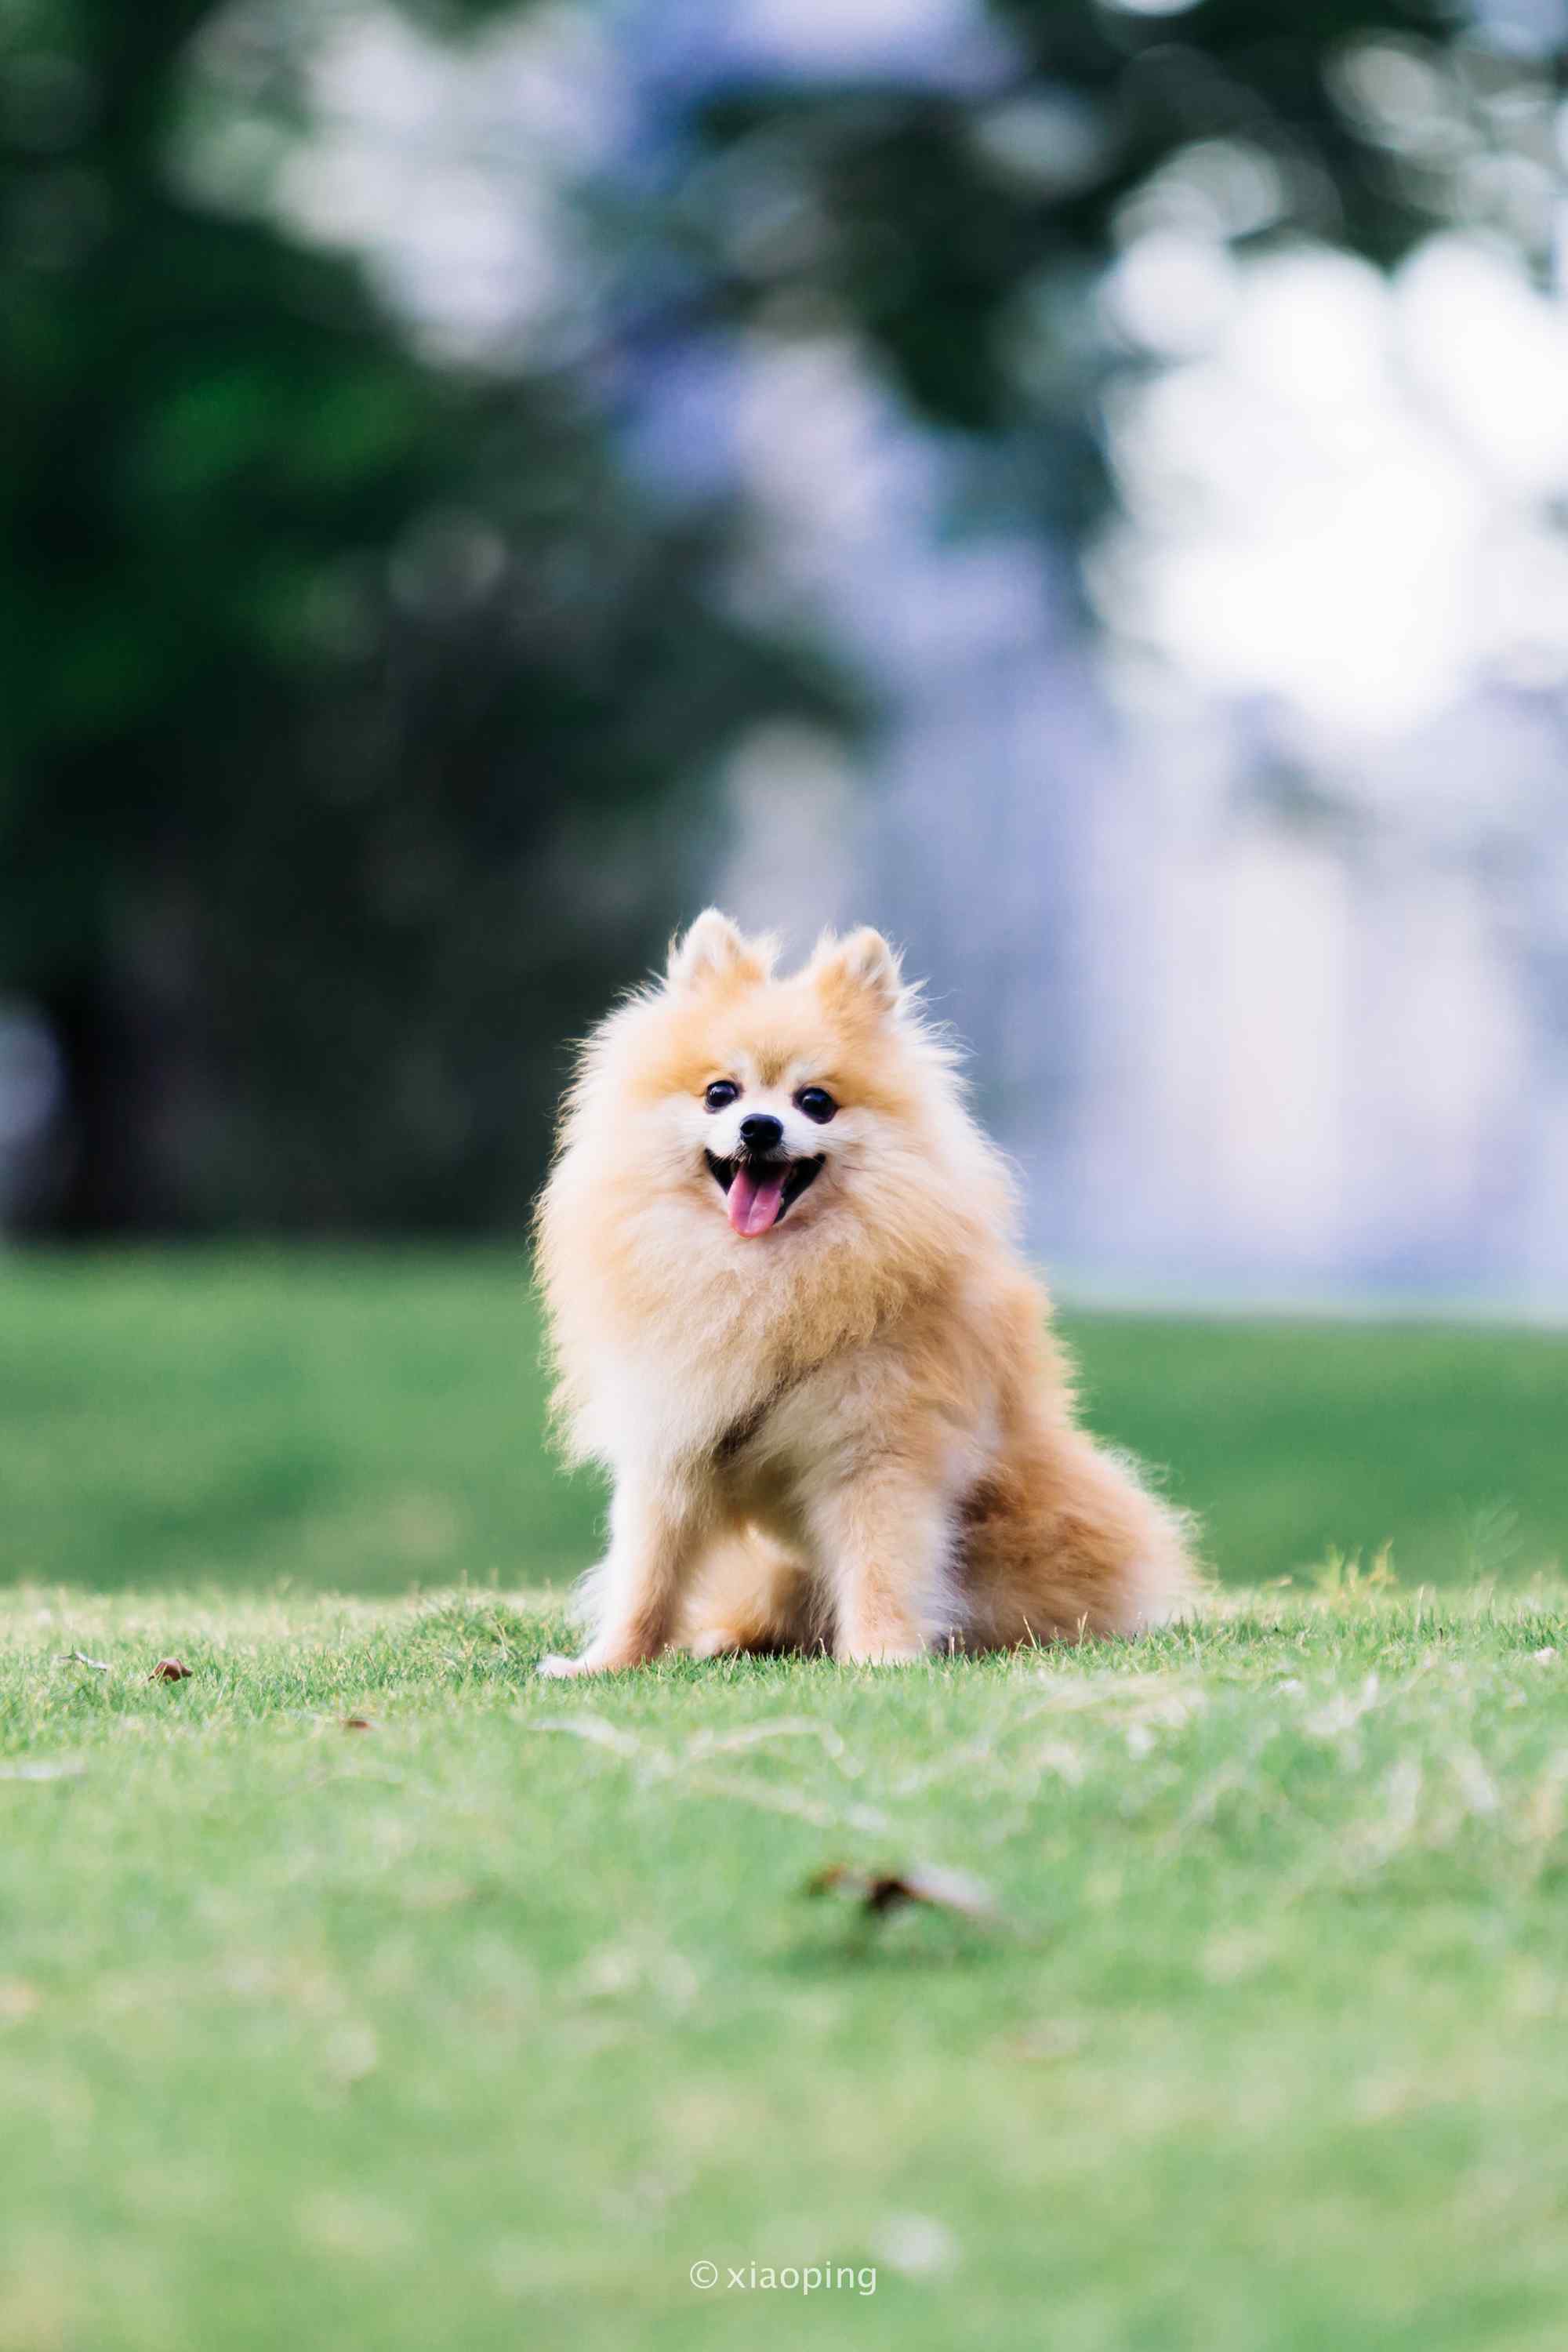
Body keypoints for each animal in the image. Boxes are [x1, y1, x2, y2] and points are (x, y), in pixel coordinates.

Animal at [533, 913, 1194, 1675]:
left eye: (815, 1101)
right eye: (720, 1093)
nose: (760, 1126)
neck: (763, 1276)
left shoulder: (879, 1450)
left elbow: (881, 1563)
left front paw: (881, 1657)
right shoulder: (672, 1443)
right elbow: (646, 1574)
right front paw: (610, 1663)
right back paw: (725, 1640)